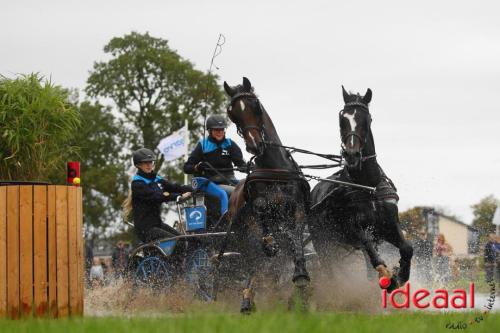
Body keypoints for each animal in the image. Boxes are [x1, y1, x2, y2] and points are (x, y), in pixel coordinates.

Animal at [222, 76, 310, 310]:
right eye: (232, 113)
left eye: (256, 106)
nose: (254, 145)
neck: (274, 169)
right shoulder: (258, 209)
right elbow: (262, 209)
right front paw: (270, 241)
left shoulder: (297, 208)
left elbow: (295, 238)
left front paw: (300, 273)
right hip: (242, 235)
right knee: (255, 264)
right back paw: (247, 298)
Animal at [308, 85, 414, 290]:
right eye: (342, 119)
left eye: (367, 119)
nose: (351, 154)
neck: (369, 186)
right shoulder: (354, 228)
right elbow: (369, 247)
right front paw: (387, 277)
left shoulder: (388, 225)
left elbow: (407, 248)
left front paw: (399, 276)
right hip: (322, 241)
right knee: (330, 269)